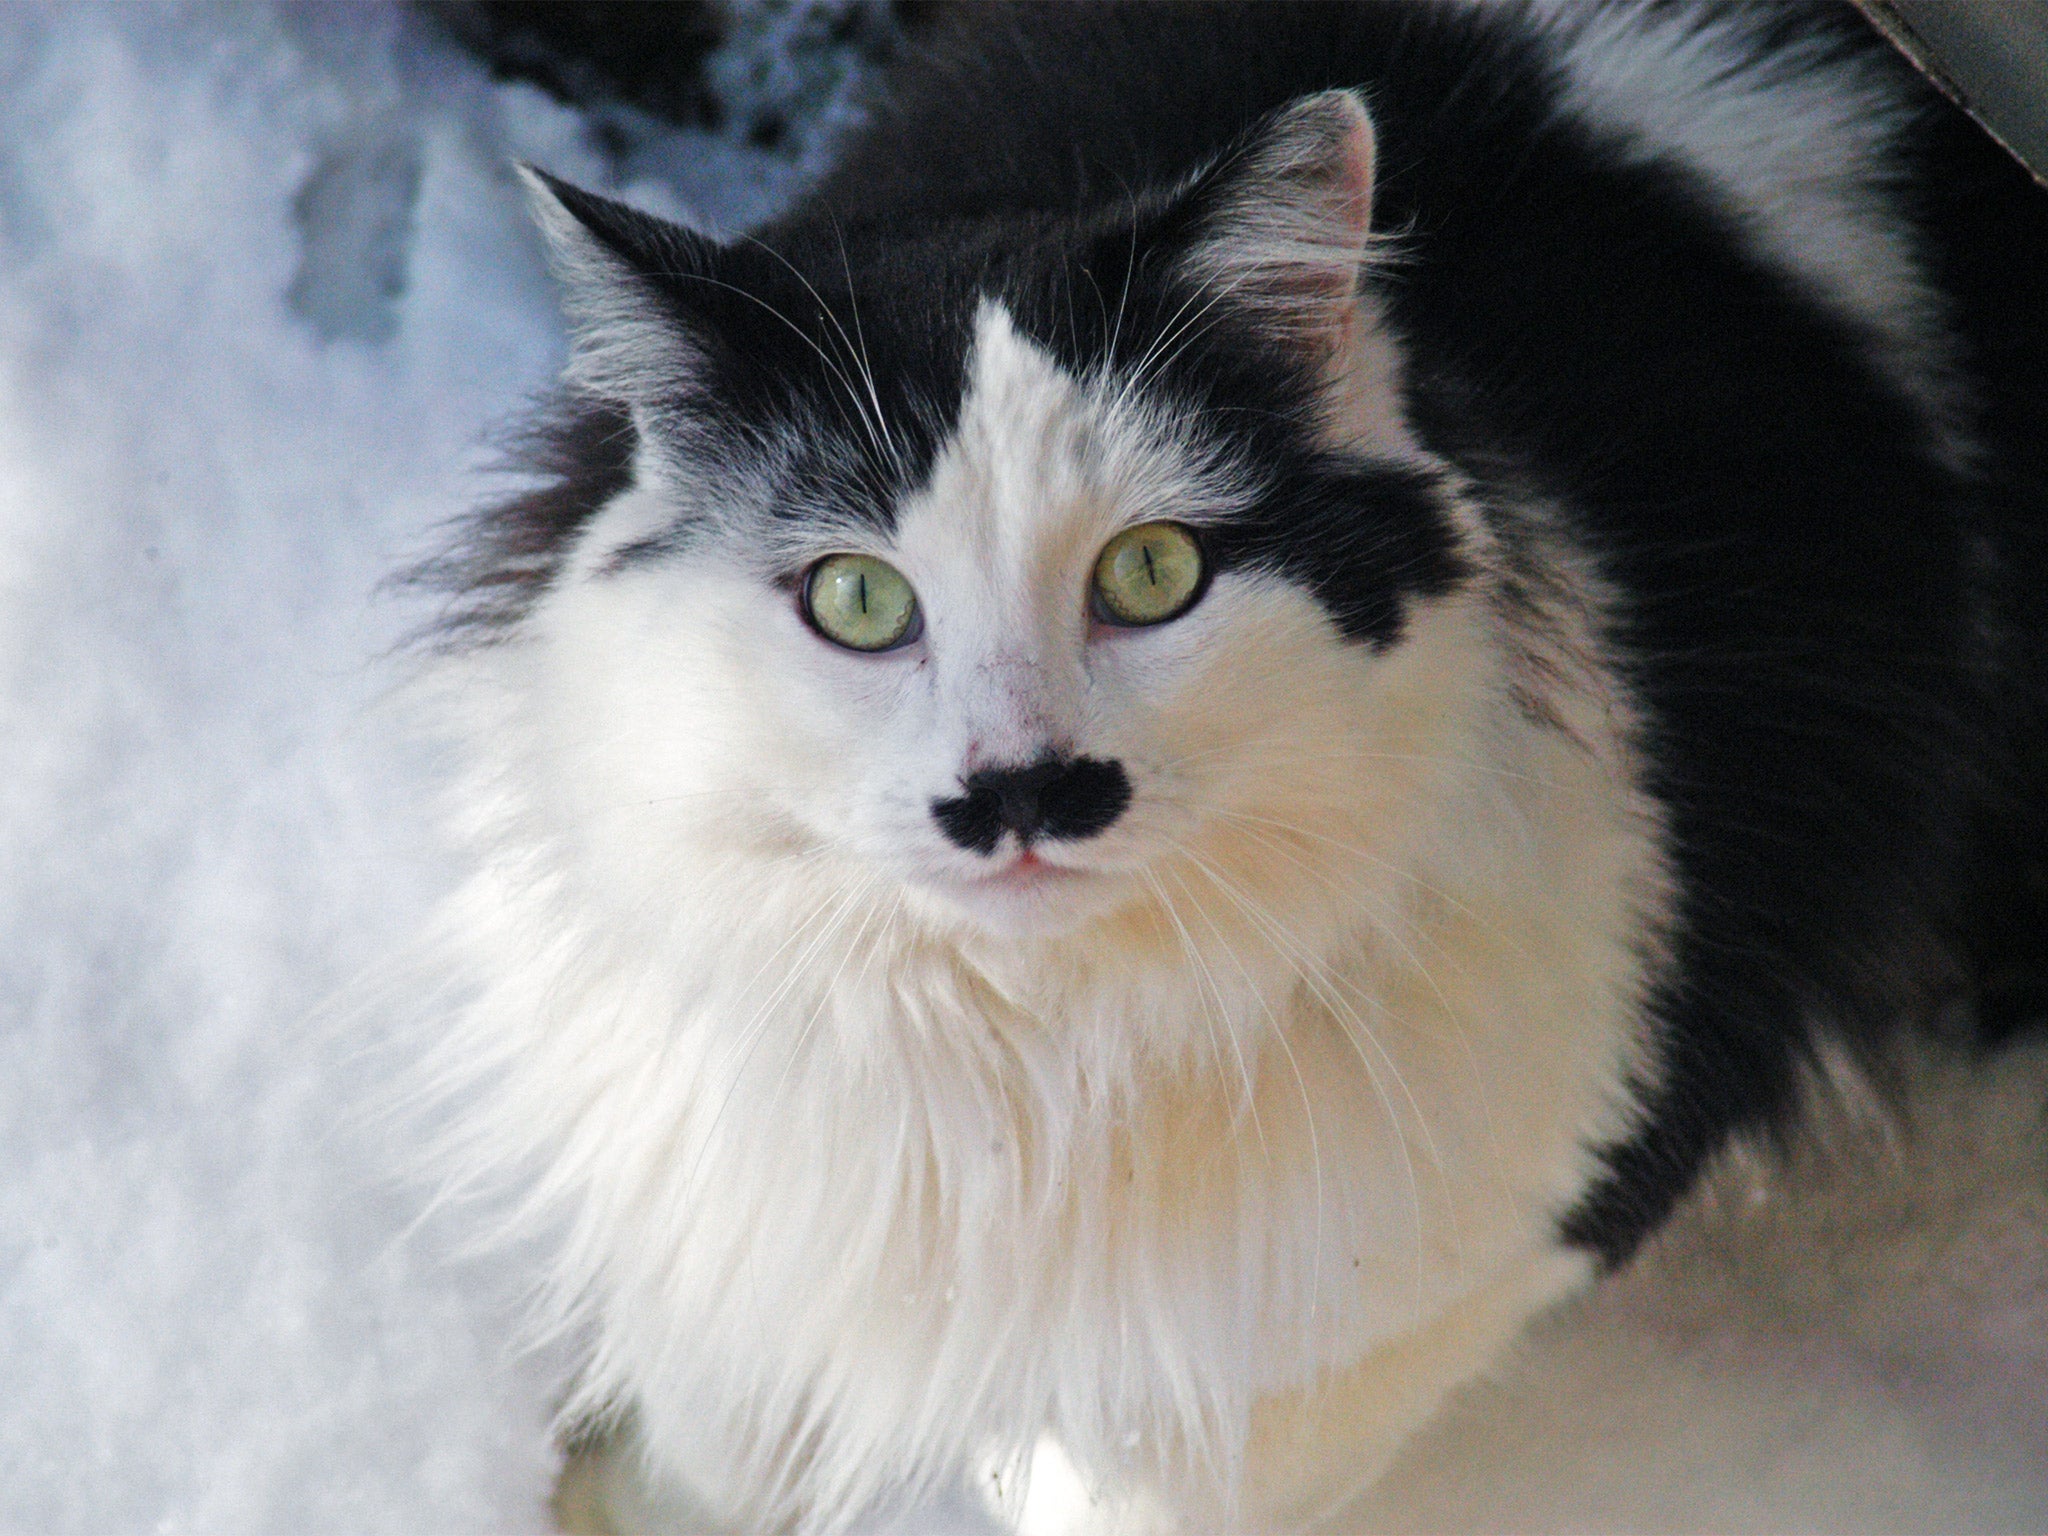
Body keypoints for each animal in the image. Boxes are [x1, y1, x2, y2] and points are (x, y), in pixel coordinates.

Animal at [411, 6, 2048, 1531]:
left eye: (1150, 574)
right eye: (858, 600)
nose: (1020, 791)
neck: (1036, 1071)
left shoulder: (1554, 1162)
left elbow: (1138, 1473)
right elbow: (714, 1439)